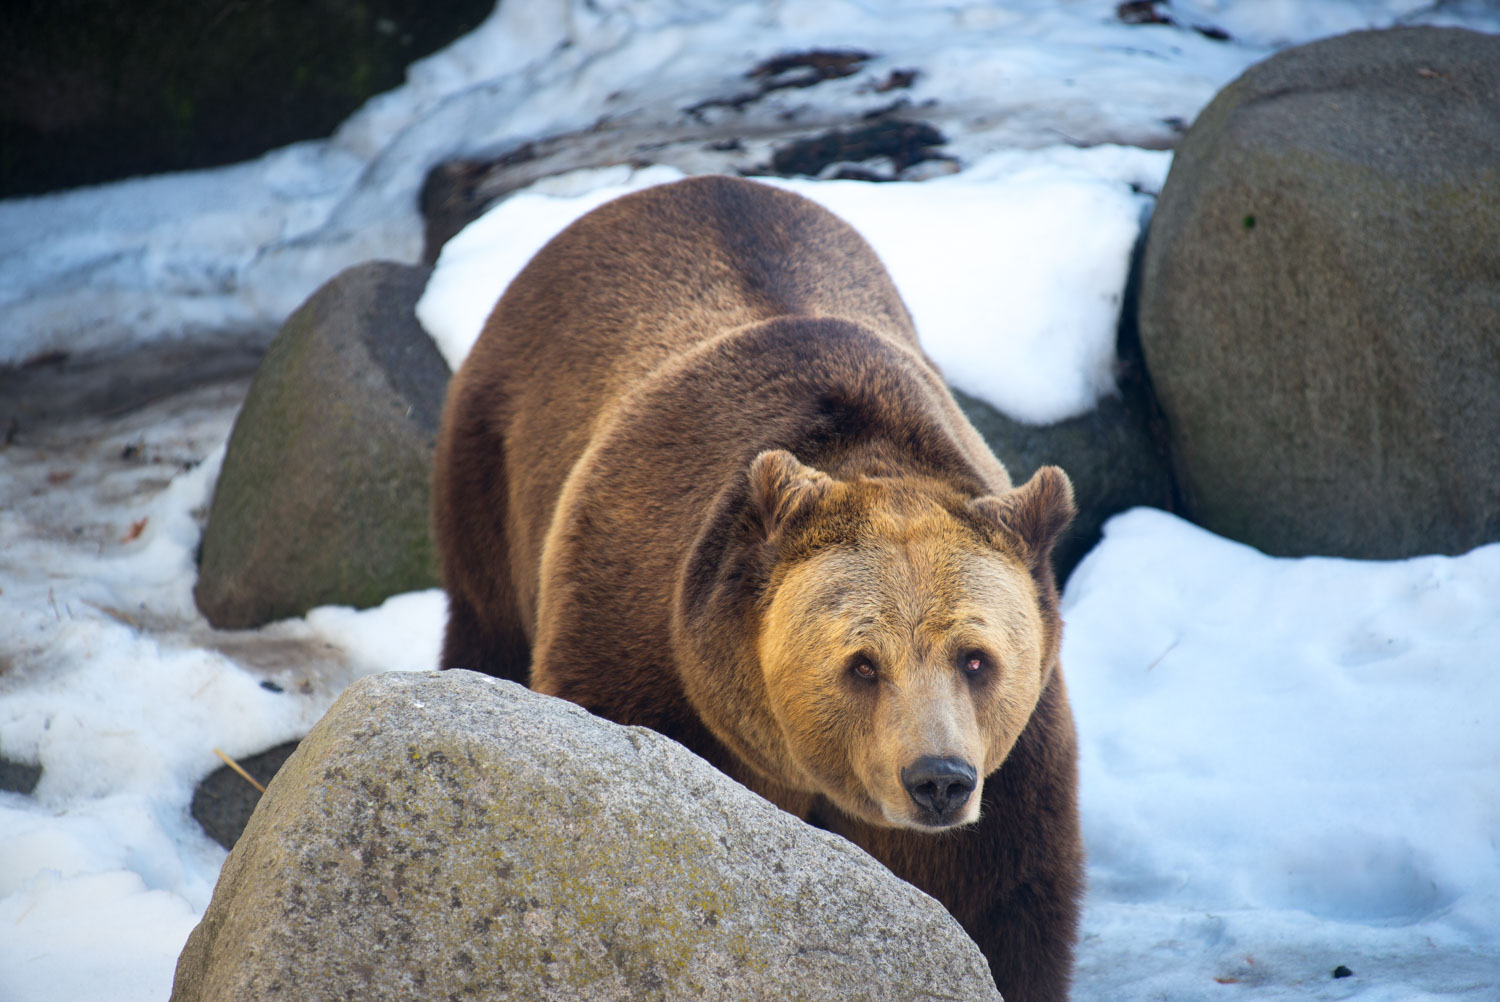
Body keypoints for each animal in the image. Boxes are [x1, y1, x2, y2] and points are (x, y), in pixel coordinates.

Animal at [433, 174, 1083, 1001]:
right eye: (861, 663)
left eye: (977, 657)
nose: (938, 780)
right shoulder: (639, 641)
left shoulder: (1015, 768)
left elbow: (1001, 904)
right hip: (496, 471)